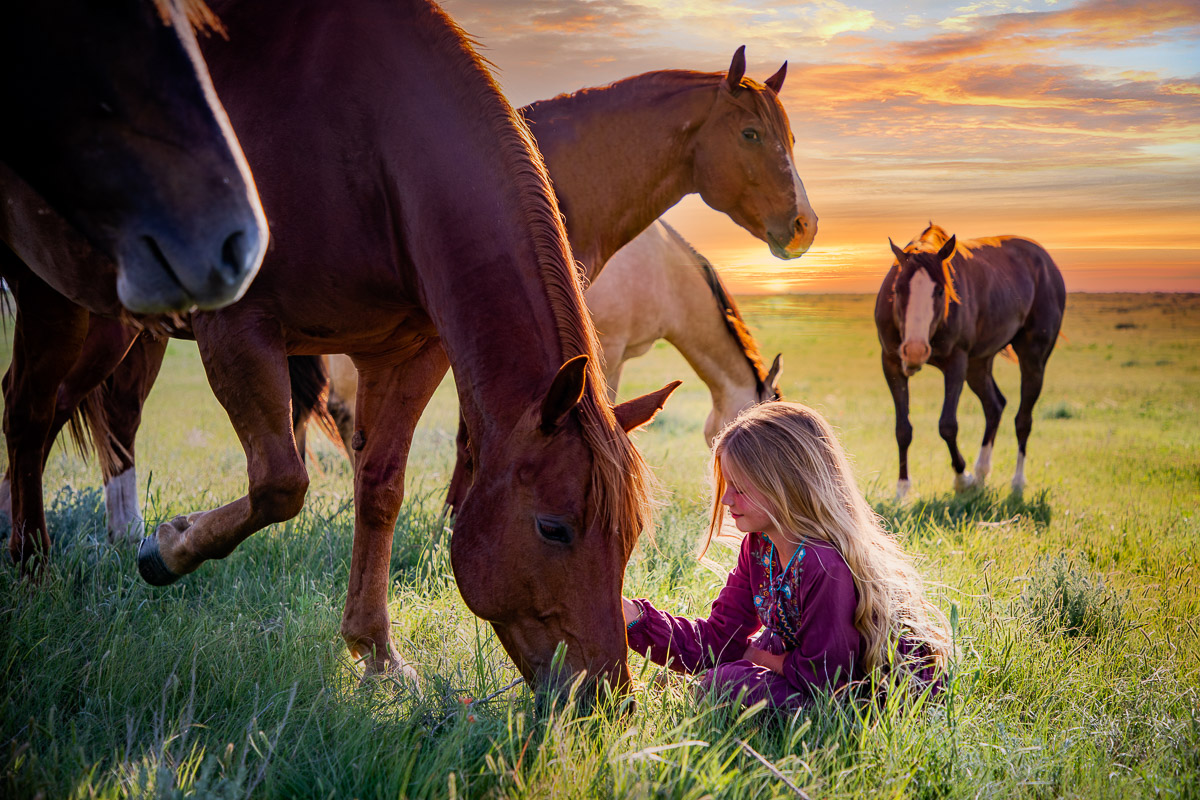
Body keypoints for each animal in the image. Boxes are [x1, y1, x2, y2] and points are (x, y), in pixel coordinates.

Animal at [873, 224, 1070, 501]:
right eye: (898, 289)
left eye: (940, 290)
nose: (915, 351)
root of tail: (1046, 261)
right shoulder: (891, 364)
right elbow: (903, 429)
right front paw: (902, 491)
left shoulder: (957, 362)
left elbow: (947, 425)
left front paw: (961, 479)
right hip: (978, 365)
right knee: (994, 406)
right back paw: (980, 475)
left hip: (1033, 357)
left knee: (1023, 420)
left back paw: (1016, 484)